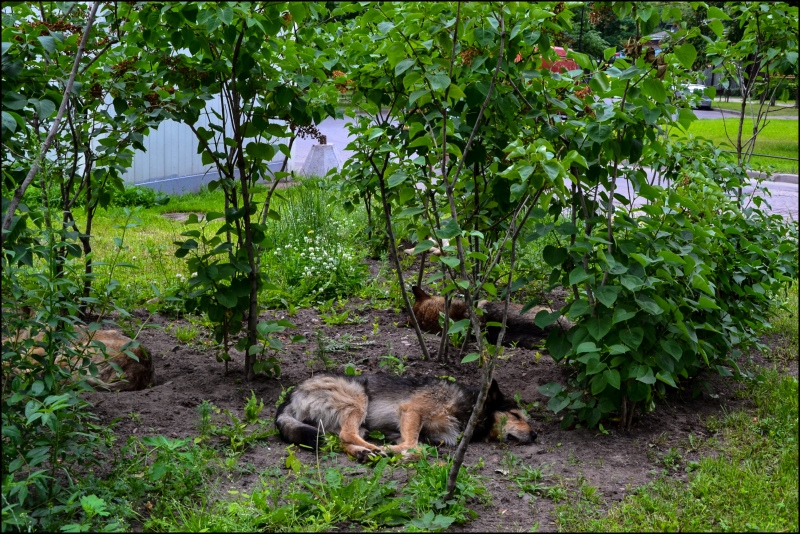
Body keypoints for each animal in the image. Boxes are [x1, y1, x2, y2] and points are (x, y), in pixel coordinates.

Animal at [276, 372, 536, 464]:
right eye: (515, 414)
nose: (535, 434)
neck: (468, 408)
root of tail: (291, 395)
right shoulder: (411, 411)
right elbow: (414, 445)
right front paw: (392, 450)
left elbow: (417, 446)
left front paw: (395, 451)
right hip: (359, 399)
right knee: (346, 434)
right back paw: (375, 450)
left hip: (356, 424)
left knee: (341, 440)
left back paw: (365, 453)